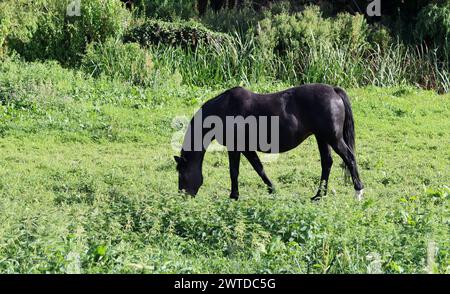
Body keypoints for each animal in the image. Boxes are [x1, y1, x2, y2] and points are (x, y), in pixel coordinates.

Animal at [174, 84, 364, 201]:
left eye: (182, 174)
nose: (183, 196)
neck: (224, 109)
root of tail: (333, 90)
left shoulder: (235, 147)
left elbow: (234, 171)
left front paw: (233, 196)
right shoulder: (246, 148)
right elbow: (259, 168)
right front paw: (273, 189)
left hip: (333, 138)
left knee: (349, 158)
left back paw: (358, 192)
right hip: (322, 138)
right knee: (327, 163)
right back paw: (318, 196)